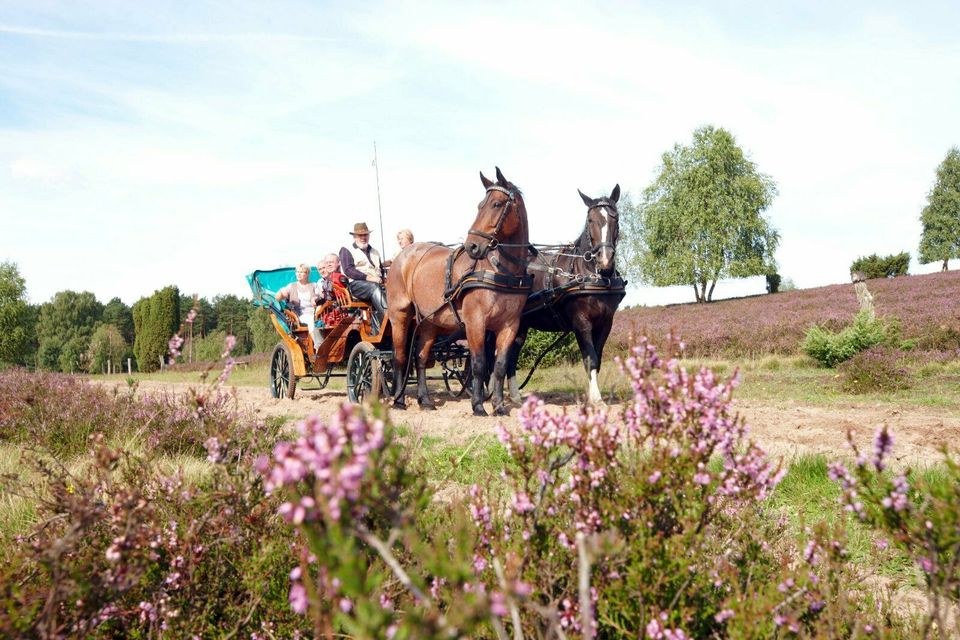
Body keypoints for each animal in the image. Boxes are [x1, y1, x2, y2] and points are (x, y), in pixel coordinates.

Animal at [384, 168, 532, 416]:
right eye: (480, 205)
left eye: (497, 204)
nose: (472, 246)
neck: (499, 271)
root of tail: (402, 256)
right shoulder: (475, 322)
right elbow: (479, 363)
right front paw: (478, 405)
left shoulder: (510, 325)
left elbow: (500, 366)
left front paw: (499, 406)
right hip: (400, 315)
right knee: (400, 357)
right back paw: (399, 400)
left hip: (429, 323)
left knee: (420, 358)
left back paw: (425, 401)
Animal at [506, 185, 628, 404]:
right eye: (590, 220)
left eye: (615, 218)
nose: (605, 260)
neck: (594, 276)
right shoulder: (581, 321)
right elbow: (590, 358)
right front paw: (596, 397)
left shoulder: (606, 322)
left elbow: (597, 357)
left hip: (521, 326)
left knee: (509, 357)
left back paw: (514, 396)